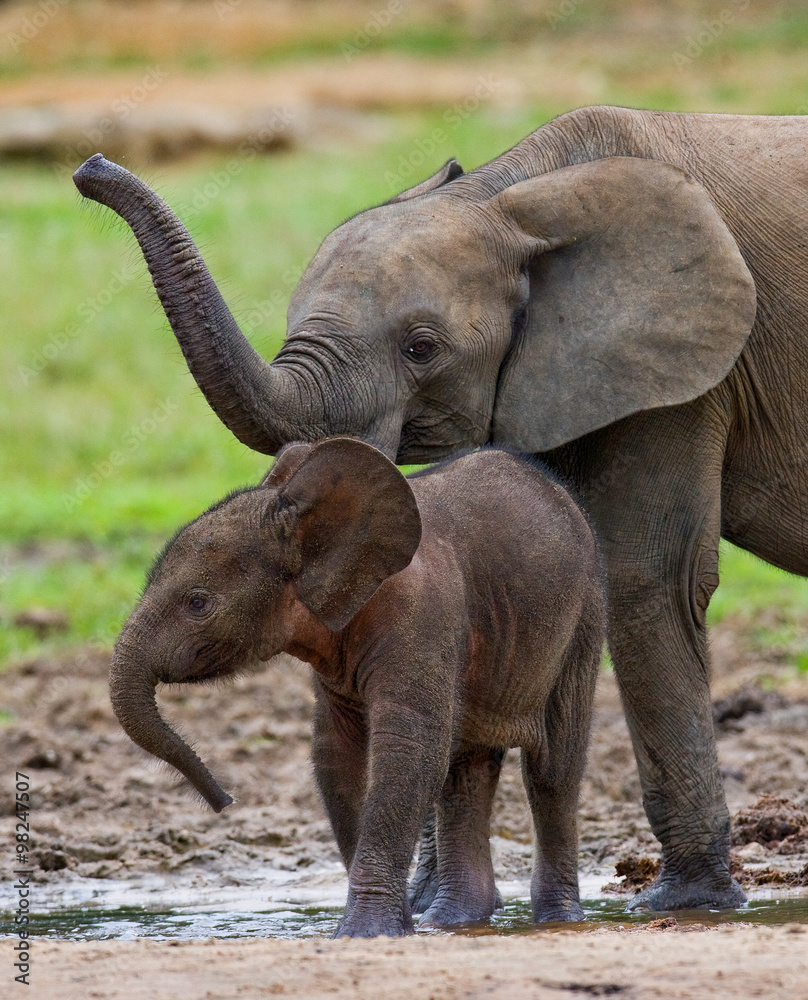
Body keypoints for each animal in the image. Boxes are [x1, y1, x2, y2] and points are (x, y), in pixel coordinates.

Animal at [109, 438, 605, 937]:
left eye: (198, 603)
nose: (225, 801)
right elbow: (336, 756)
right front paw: (397, 924)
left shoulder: (424, 619)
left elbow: (408, 750)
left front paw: (365, 933)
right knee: (465, 773)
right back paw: (453, 922)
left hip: (584, 617)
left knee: (552, 771)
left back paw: (558, 921)